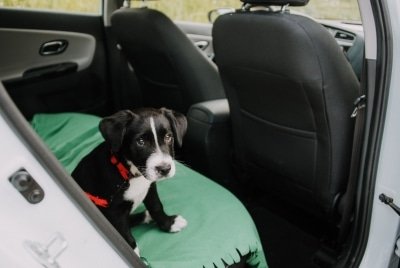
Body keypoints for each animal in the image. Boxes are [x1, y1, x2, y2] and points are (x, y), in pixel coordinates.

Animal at [72, 107, 189, 255]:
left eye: (168, 137)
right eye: (140, 141)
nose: (164, 169)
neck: (132, 175)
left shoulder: (150, 187)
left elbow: (156, 206)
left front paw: (168, 223)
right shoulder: (115, 211)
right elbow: (125, 236)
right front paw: (136, 255)